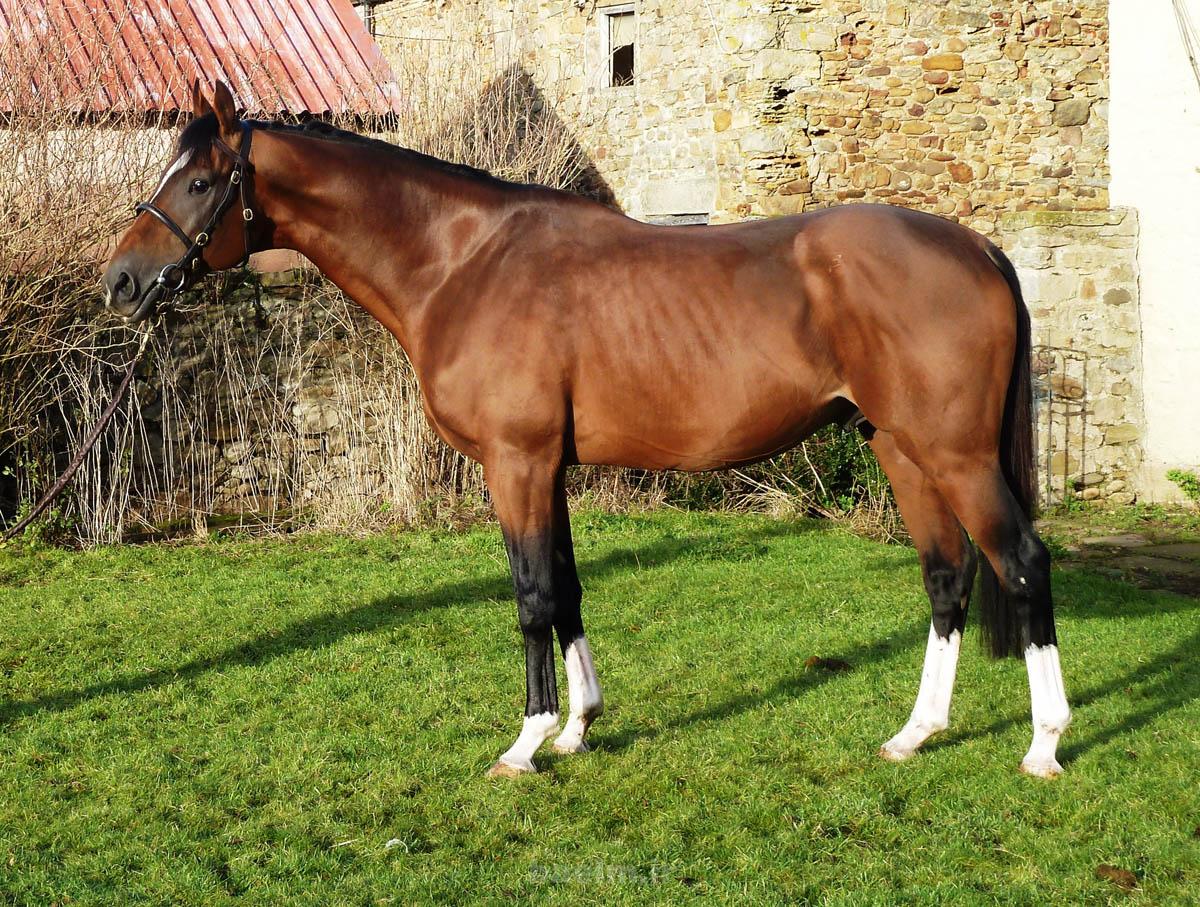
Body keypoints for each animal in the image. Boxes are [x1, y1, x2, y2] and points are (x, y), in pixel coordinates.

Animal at [104, 81, 1071, 779]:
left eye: (198, 181)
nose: (121, 281)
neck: (462, 262)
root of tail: (978, 249)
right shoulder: (550, 469)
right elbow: (567, 588)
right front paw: (579, 727)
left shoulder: (517, 464)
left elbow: (533, 594)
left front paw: (527, 742)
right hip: (900, 449)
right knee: (946, 576)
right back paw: (915, 733)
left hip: (955, 455)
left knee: (1021, 562)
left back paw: (1045, 743)